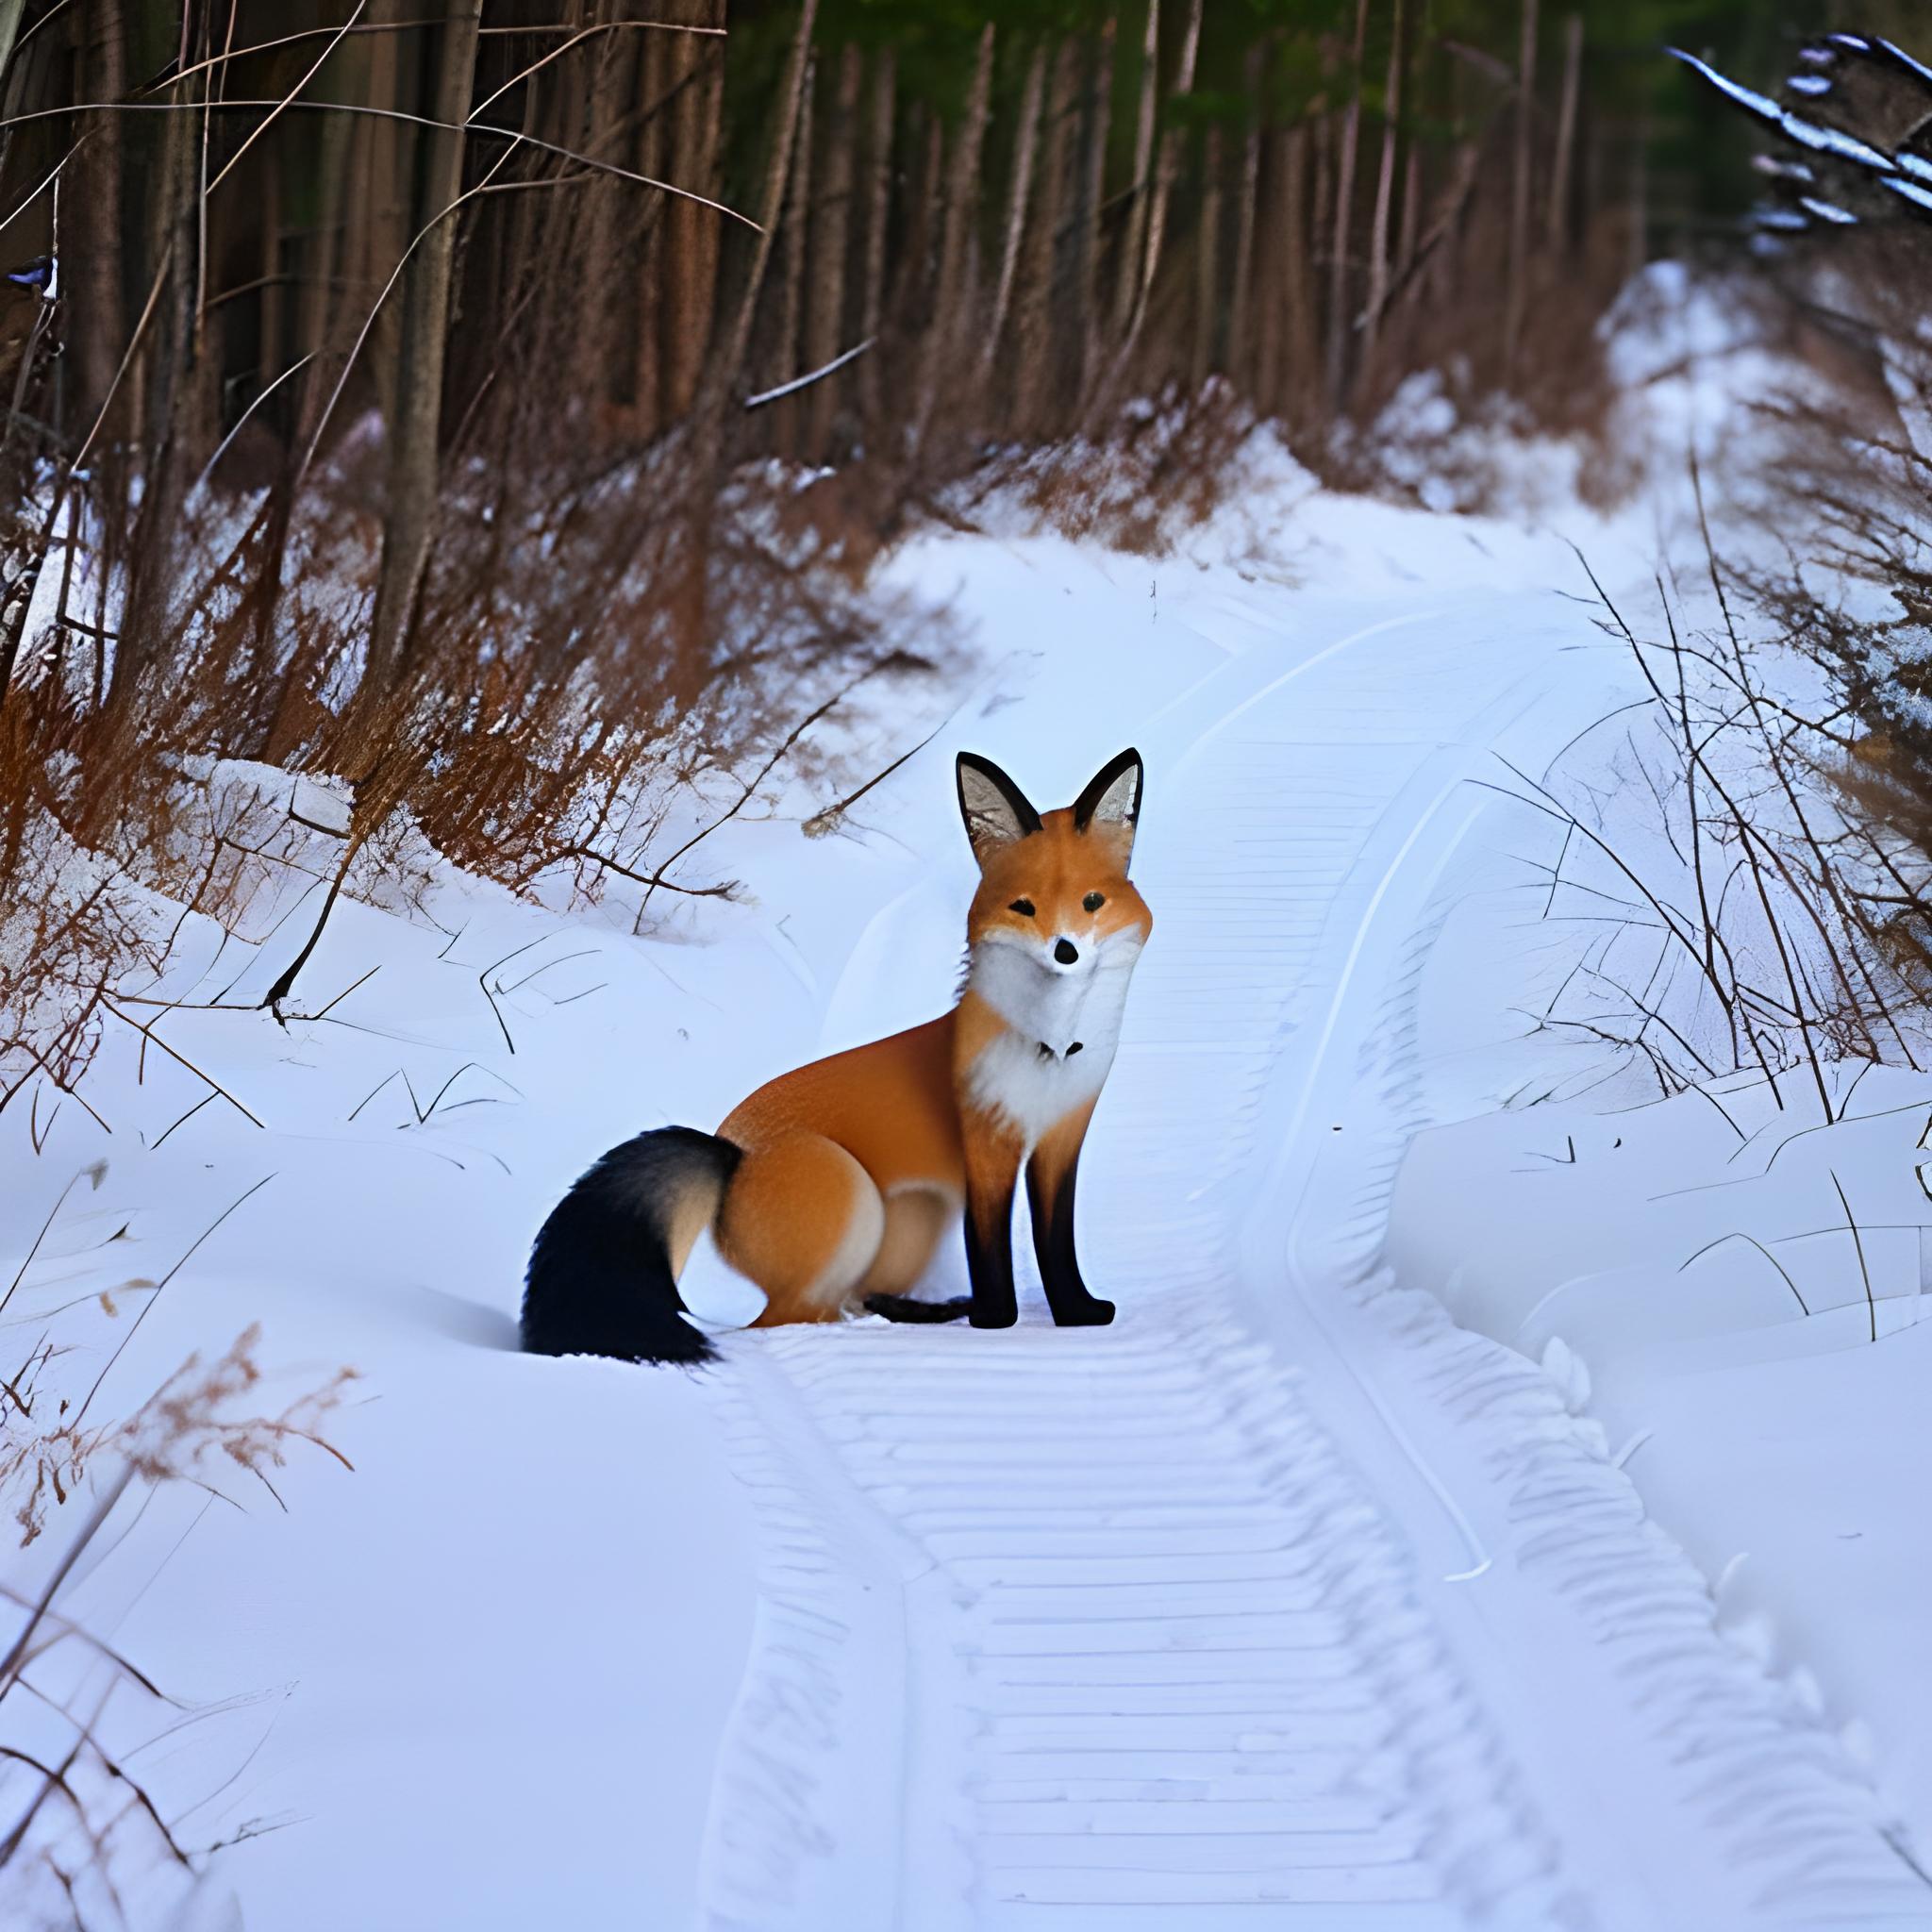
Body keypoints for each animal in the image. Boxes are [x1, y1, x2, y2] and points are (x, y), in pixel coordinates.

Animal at [517, 745, 1143, 1367]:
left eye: (1091, 903)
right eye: (1024, 907)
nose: (1066, 951)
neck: (1051, 1048)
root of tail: (728, 1154)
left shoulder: (1063, 1135)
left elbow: (1056, 1243)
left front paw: (1078, 1315)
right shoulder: (986, 1144)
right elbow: (989, 1249)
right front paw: (997, 1321)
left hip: (913, 1222)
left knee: (854, 1297)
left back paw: (920, 1312)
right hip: (853, 1196)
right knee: (789, 1317)